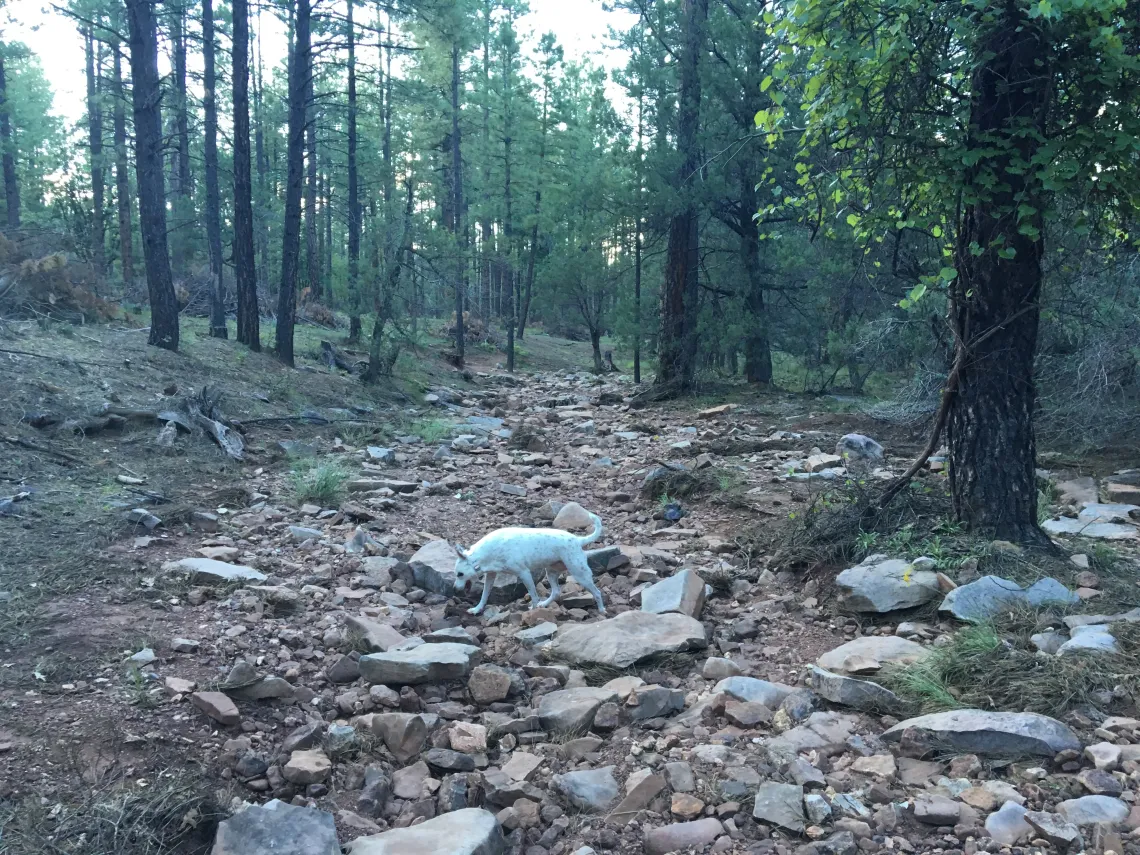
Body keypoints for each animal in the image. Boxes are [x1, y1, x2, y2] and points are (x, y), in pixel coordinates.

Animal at [451, 515, 606, 615]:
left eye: (460, 574)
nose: (454, 589)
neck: (484, 554)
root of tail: (578, 540)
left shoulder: (524, 573)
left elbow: (533, 595)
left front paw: (535, 609)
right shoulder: (491, 576)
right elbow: (484, 595)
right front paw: (477, 609)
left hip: (580, 574)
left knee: (597, 592)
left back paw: (602, 610)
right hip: (551, 572)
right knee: (556, 591)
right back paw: (544, 604)